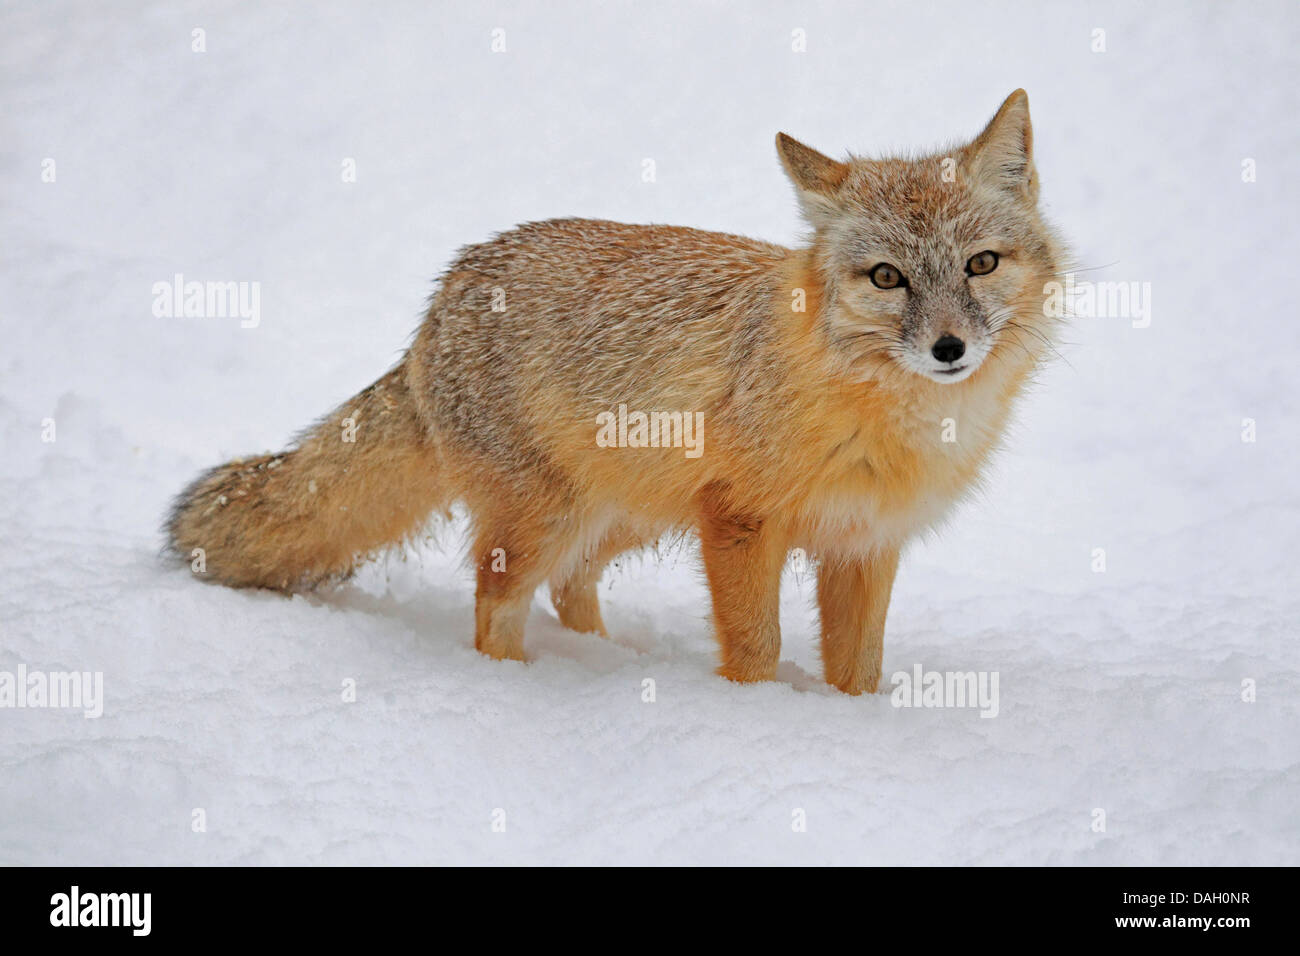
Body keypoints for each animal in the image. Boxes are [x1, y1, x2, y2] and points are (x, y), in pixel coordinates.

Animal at [167, 89, 1066, 697]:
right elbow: (757, 648)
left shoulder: (863, 545)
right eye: (887, 278)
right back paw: (517, 687)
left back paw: (611, 661)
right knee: (496, 607)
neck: (884, 421)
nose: (949, 349)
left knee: (570, 589)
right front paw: (760, 722)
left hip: (623, 517)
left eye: (981, 265)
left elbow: (860, 669)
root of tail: (449, 286)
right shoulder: (740, 522)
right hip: (549, 519)